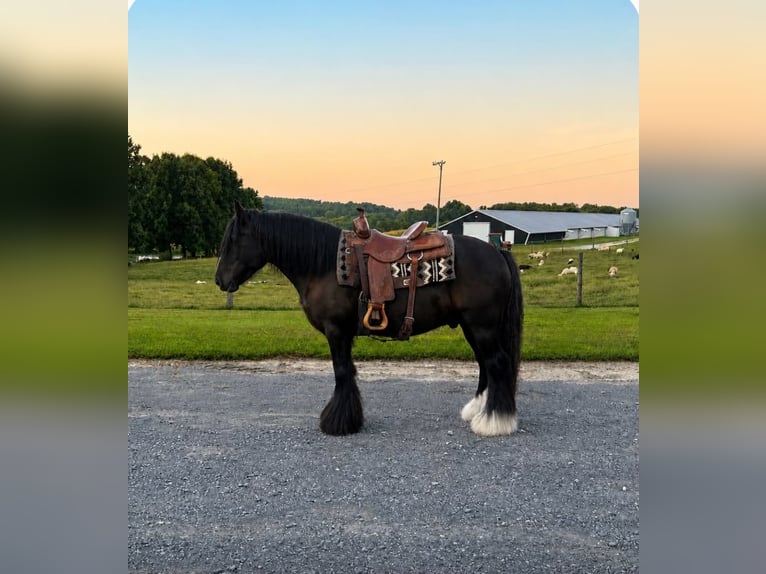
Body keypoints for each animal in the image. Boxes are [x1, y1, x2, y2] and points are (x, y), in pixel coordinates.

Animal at [215, 203, 523, 437]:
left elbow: (341, 372)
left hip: (482, 326)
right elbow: (348, 371)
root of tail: (497, 251)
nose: (220, 280)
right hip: (472, 327)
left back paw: (494, 422)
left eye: (232, 241)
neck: (324, 265)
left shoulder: (336, 331)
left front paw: (338, 423)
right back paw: (478, 410)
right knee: (485, 365)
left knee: (496, 363)